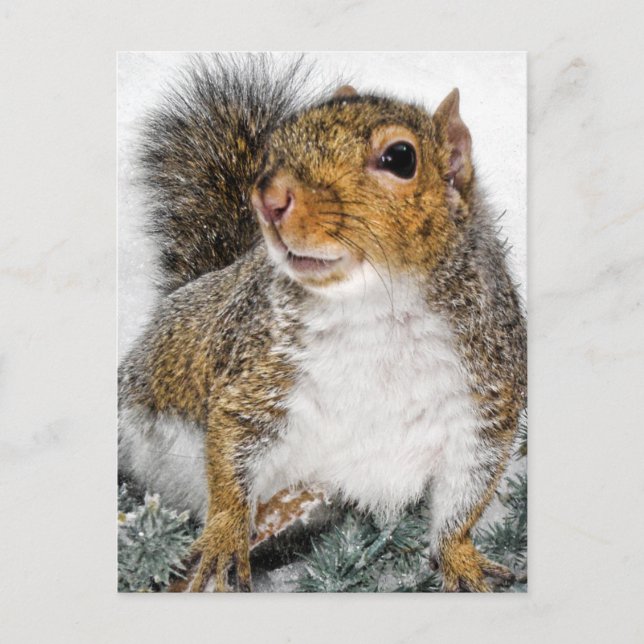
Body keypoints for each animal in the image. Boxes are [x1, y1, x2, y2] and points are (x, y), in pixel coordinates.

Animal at [118, 54, 527, 592]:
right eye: (279, 145)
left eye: (401, 158)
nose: (268, 198)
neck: (376, 308)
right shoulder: (257, 374)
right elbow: (230, 452)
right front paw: (224, 534)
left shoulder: (484, 401)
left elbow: (465, 497)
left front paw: (460, 560)